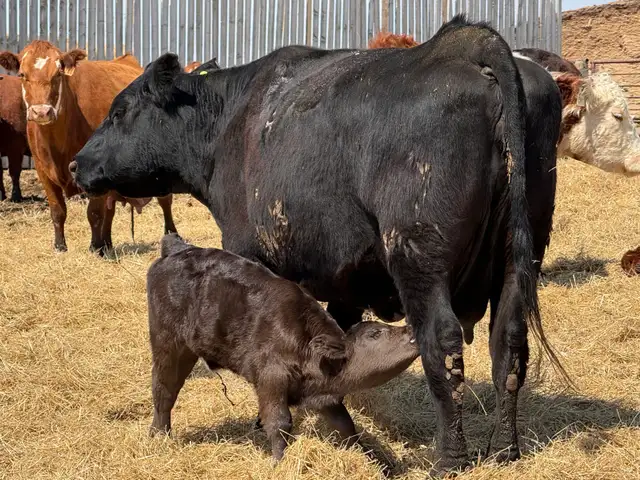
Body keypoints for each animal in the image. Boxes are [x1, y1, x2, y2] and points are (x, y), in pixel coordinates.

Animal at [0, 42, 177, 253]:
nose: (41, 112)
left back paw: (170, 233)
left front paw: (94, 246)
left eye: (58, 74)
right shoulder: (43, 171)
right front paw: (61, 246)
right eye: (22, 74)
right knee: (110, 209)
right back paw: (107, 242)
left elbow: (93, 212)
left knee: (165, 201)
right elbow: (58, 210)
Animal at [148, 233, 420, 460]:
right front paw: (280, 462)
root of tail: (179, 249)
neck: (310, 352)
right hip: (168, 344)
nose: (410, 328)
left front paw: (371, 460)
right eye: (375, 333)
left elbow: (346, 425)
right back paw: (159, 435)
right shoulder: (271, 379)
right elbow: (280, 422)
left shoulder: (325, 399)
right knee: (164, 389)